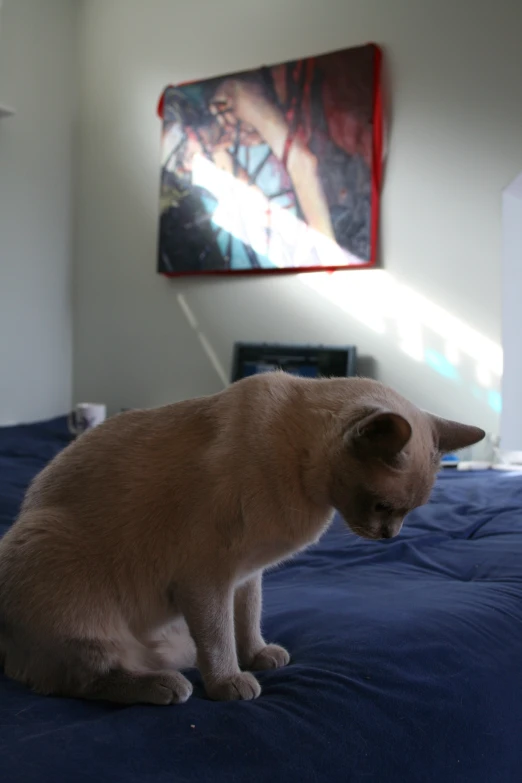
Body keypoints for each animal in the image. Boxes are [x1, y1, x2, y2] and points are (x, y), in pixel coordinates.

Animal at [0, 372, 484, 704]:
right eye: (384, 507)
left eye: (409, 513)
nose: (389, 536)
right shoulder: (208, 579)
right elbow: (219, 637)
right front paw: (230, 682)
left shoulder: (247, 576)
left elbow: (247, 623)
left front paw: (257, 657)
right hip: (57, 558)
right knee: (84, 676)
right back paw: (167, 687)